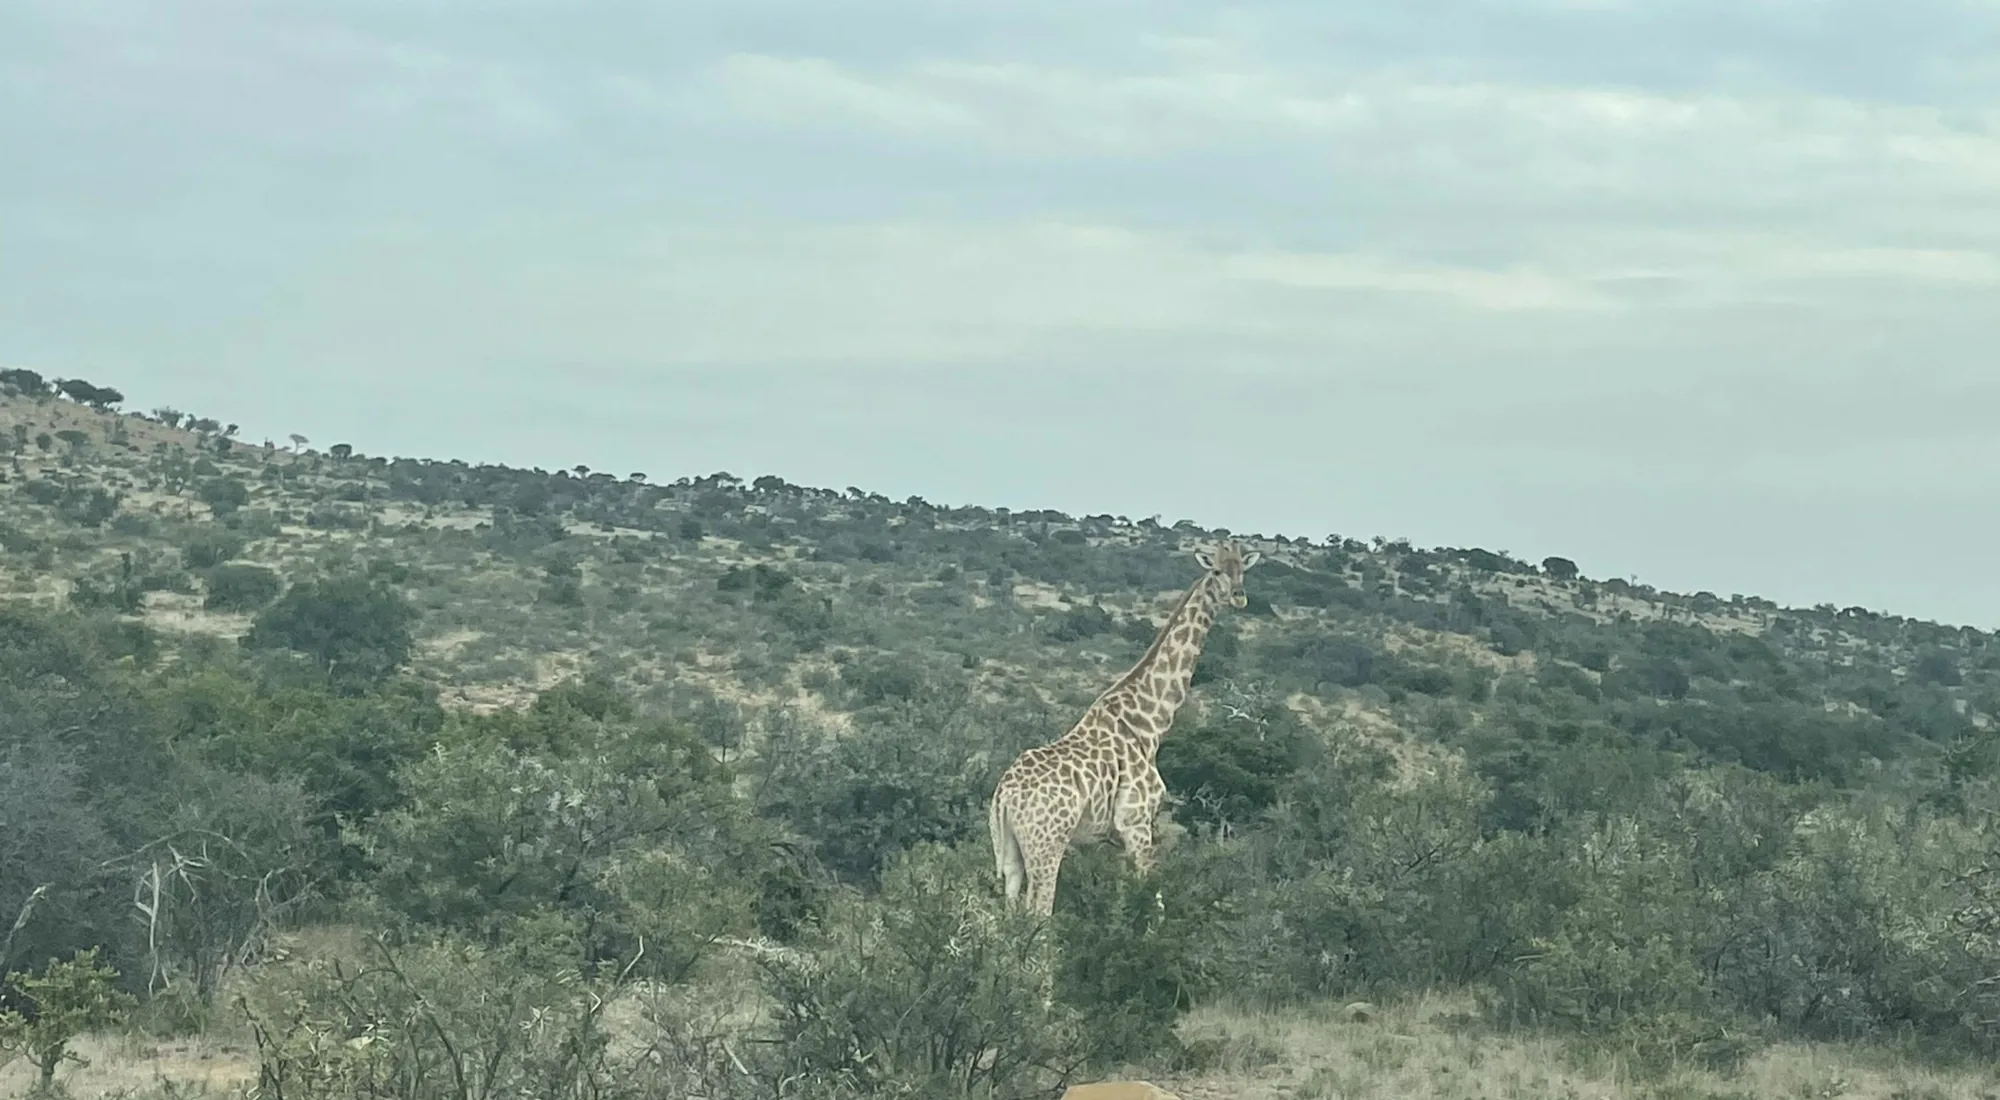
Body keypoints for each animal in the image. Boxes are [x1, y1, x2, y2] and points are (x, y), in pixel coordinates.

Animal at [989, 539, 1263, 916]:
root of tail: (1005, 794)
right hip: (1047, 845)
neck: (1149, 724)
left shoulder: (1115, 839)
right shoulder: (1137, 823)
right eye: (1218, 570)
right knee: (1039, 911)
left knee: (1010, 907)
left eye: (1242, 570)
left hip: (1008, 848)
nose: (1239, 596)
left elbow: (1123, 896)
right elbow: (1155, 896)